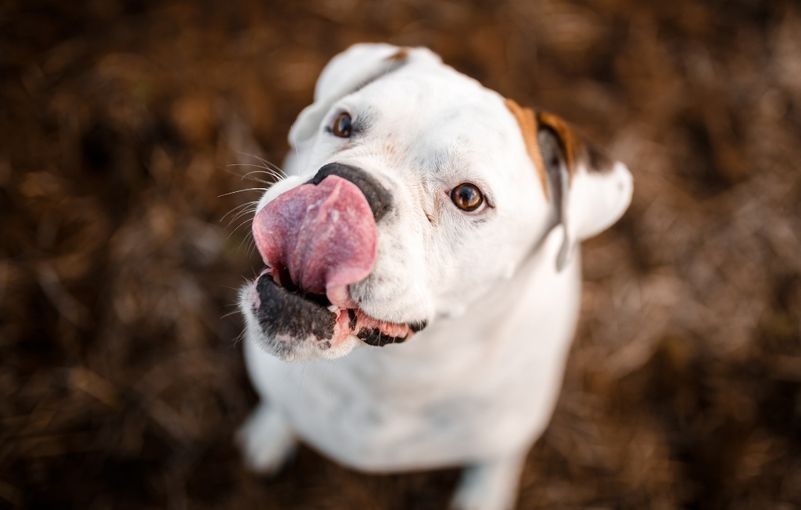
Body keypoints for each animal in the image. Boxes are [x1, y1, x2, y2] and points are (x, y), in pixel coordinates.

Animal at [238, 43, 632, 510]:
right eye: (343, 124)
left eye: (468, 196)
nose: (347, 183)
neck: (396, 372)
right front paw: (271, 432)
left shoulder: (508, 434)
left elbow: (493, 464)